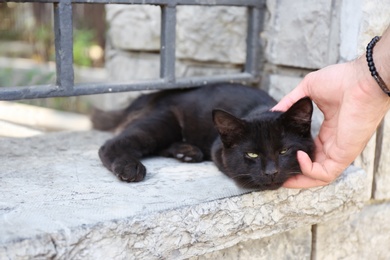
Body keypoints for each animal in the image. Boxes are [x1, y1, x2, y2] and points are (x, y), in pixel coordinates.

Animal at [93, 83, 316, 191]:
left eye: (284, 151)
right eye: (252, 154)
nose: (271, 172)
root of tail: (144, 96)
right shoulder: (218, 148)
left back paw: (187, 152)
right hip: (163, 122)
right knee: (109, 144)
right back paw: (130, 167)